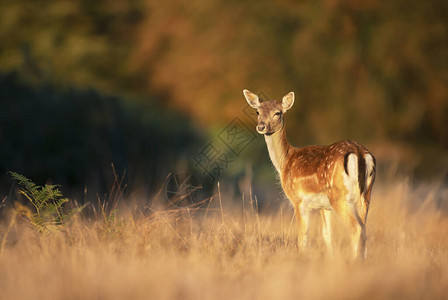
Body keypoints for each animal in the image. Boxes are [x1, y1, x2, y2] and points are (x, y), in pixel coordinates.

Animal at [243, 89, 376, 260]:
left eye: (278, 113)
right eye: (257, 111)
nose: (261, 126)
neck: (285, 161)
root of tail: (359, 153)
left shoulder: (298, 200)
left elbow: (302, 237)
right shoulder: (323, 206)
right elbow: (327, 234)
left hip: (339, 196)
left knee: (356, 228)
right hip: (365, 195)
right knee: (364, 228)